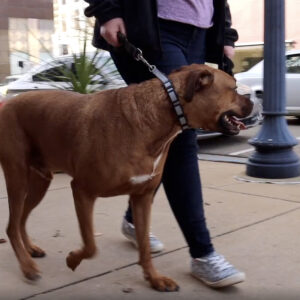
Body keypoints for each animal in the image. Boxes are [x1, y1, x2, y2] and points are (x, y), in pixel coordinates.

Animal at [0, 65, 253, 290]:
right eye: (233, 88)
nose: (252, 99)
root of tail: (7, 102)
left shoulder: (142, 198)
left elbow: (144, 246)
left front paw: (154, 279)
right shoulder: (82, 190)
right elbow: (91, 244)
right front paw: (73, 258)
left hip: (40, 181)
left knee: (21, 219)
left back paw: (30, 250)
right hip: (17, 178)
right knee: (12, 225)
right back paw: (27, 267)